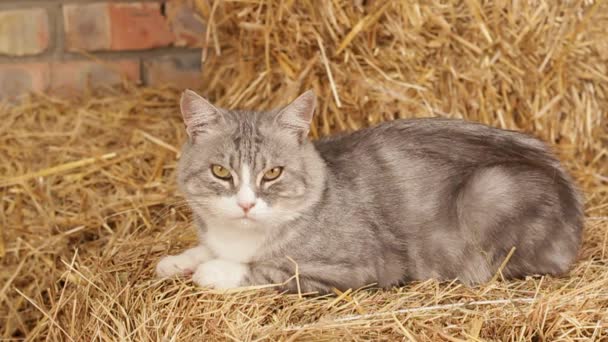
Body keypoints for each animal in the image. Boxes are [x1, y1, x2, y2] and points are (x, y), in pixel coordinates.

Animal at [157, 89, 584, 294]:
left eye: (273, 173)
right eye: (220, 172)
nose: (246, 204)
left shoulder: (360, 266)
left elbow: (269, 268)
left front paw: (215, 270)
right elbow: (205, 248)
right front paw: (178, 261)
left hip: (489, 190)